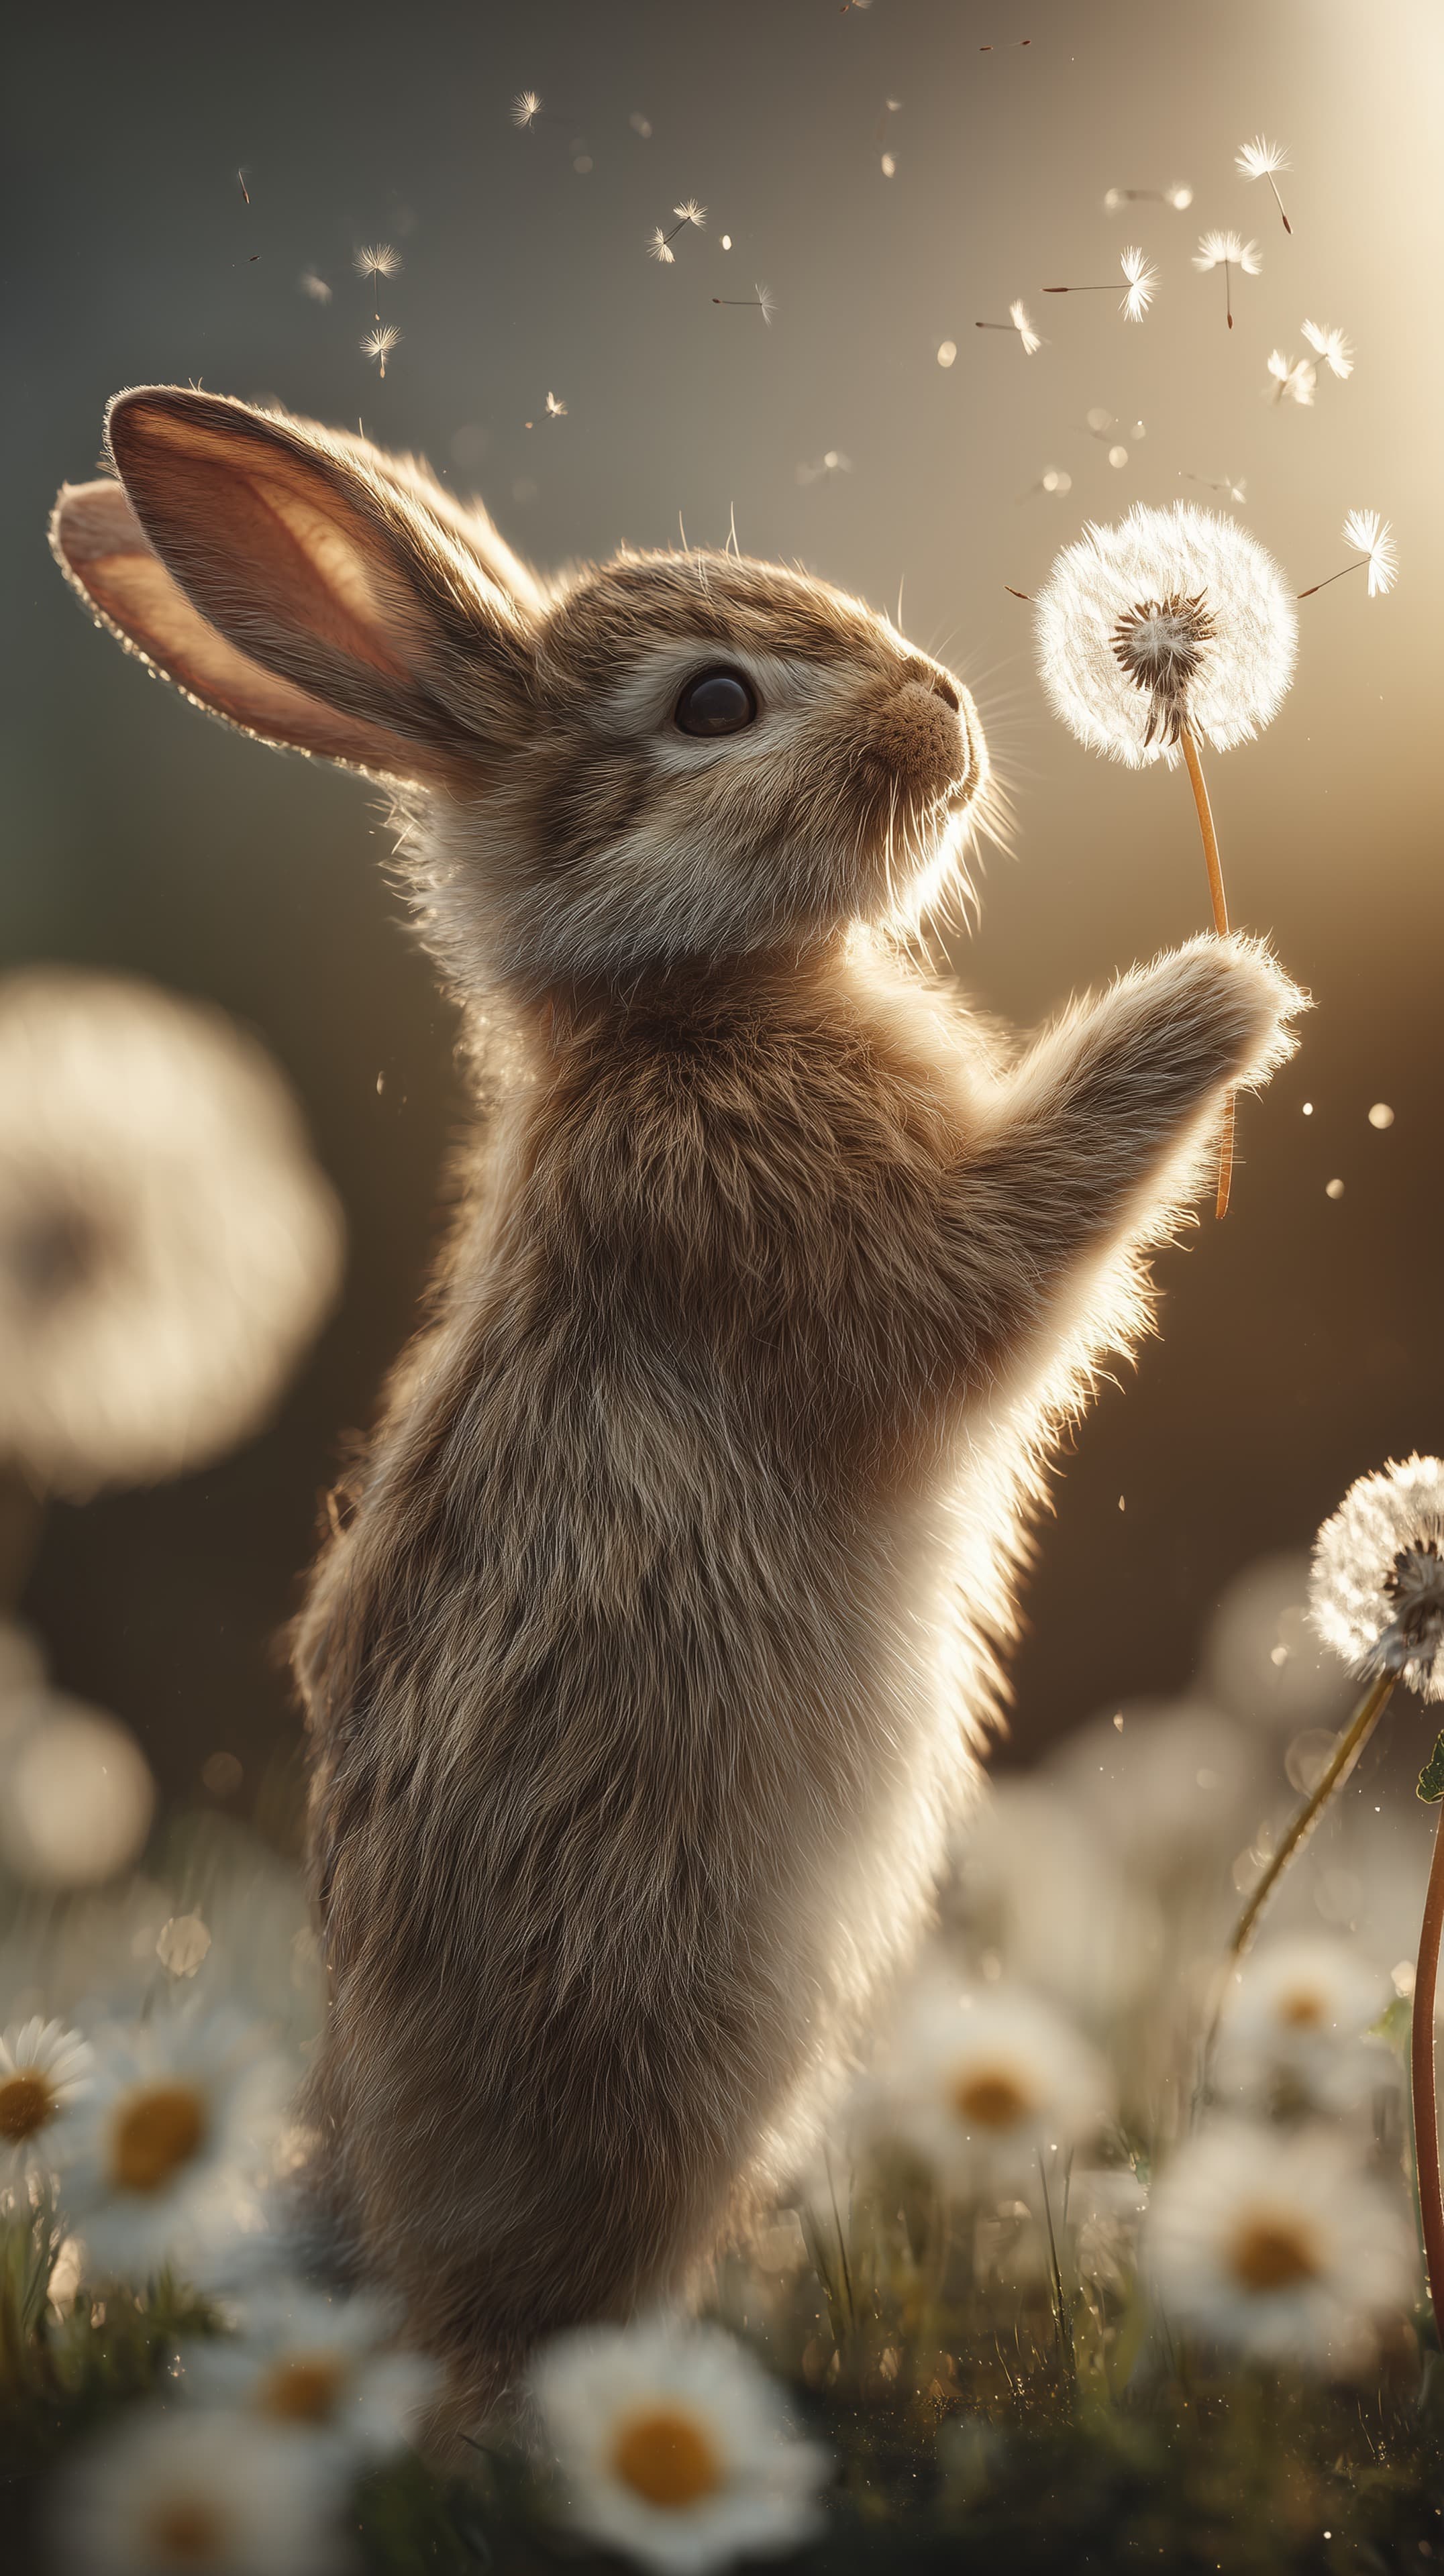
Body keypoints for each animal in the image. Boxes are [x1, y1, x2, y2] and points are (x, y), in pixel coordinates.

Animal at [51, 387, 1302, 2430]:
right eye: (714, 705)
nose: (942, 703)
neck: (679, 1005)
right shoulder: (832, 1245)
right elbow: (1011, 1254)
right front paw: (1218, 993)